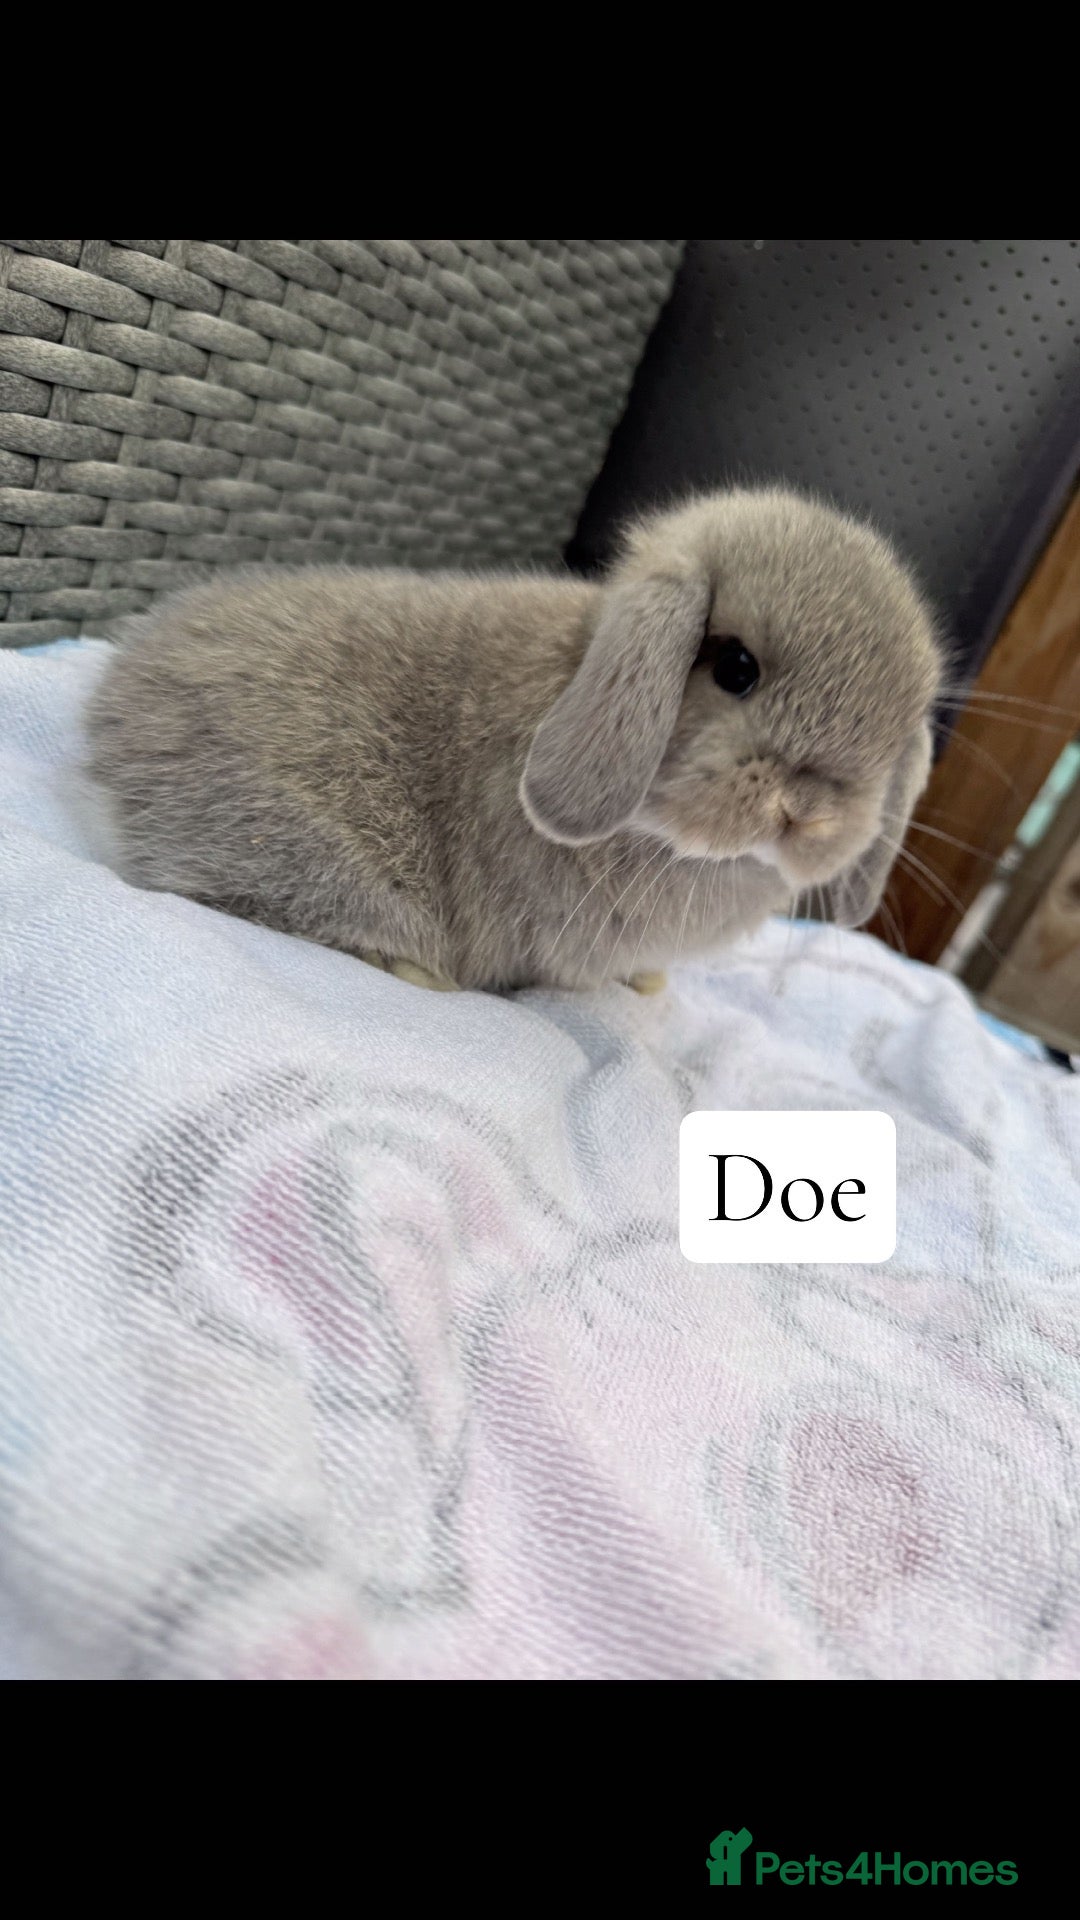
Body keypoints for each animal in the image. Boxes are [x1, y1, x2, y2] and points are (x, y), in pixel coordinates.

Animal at [84, 487, 942, 994]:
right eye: (735, 667)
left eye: (901, 729)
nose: (809, 814)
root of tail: (115, 708)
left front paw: (648, 984)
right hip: (314, 853)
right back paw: (415, 973)